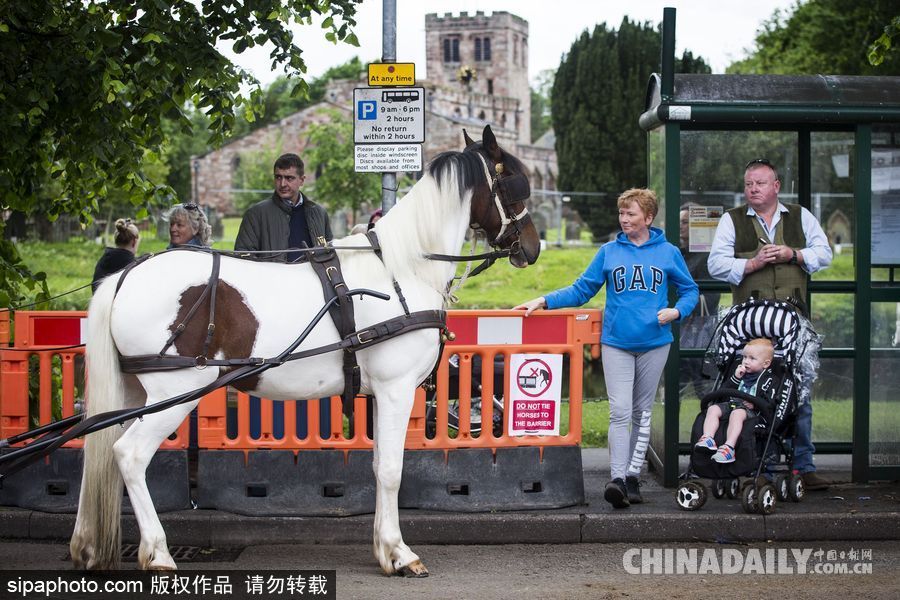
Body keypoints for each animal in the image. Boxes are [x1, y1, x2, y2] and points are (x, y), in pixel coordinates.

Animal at [70, 125, 541, 576]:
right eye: (516, 184)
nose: (533, 248)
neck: (401, 270)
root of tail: (126, 276)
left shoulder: (381, 394)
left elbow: (377, 467)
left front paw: (382, 547)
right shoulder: (396, 390)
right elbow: (391, 471)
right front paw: (398, 552)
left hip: (136, 392)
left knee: (101, 452)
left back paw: (88, 545)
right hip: (176, 392)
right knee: (129, 455)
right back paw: (158, 552)